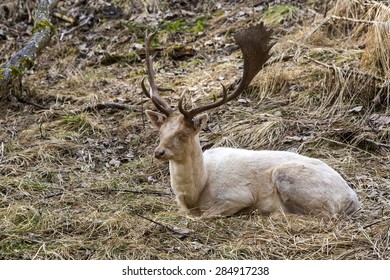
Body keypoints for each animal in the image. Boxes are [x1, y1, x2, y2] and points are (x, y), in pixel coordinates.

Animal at [141, 23, 360, 219]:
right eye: (160, 132)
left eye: (184, 133)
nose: (159, 152)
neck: (196, 194)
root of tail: (353, 198)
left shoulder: (238, 196)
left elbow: (205, 216)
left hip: (289, 177)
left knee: (325, 215)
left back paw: (274, 215)